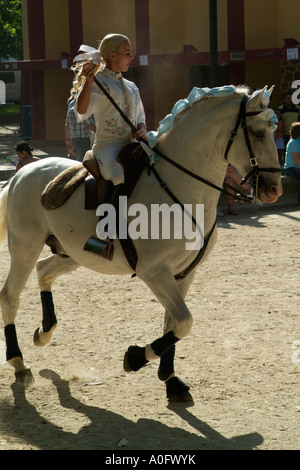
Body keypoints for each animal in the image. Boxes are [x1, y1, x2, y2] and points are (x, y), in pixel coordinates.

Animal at [0, 86, 282, 402]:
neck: (179, 188)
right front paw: (134, 358)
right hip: (25, 246)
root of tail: (22, 173)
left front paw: (170, 379)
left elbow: (174, 323)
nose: (274, 189)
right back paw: (19, 363)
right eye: (258, 132)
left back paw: (45, 331)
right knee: (10, 295)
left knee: (44, 271)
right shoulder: (155, 271)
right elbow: (184, 322)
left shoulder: (184, 273)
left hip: (71, 253)